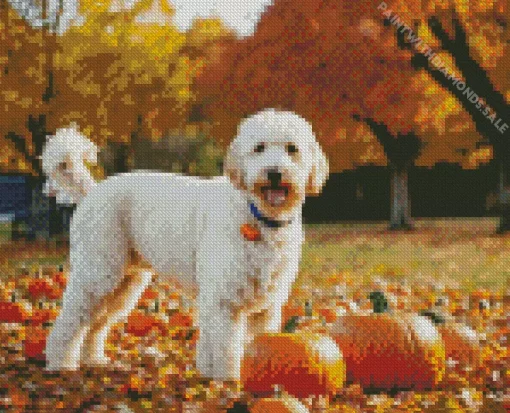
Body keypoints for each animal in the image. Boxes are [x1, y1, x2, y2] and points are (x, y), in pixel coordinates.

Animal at [44, 107, 330, 380]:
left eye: (292, 148)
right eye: (259, 147)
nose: (274, 173)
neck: (259, 217)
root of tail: (93, 191)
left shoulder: (266, 306)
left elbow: (252, 343)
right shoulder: (223, 298)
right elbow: (226, 347)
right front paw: (228, 380)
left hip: (124, 282)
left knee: (95, 322)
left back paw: (93, 359)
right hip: (97, 272)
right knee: (70, 321)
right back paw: (61, 364)